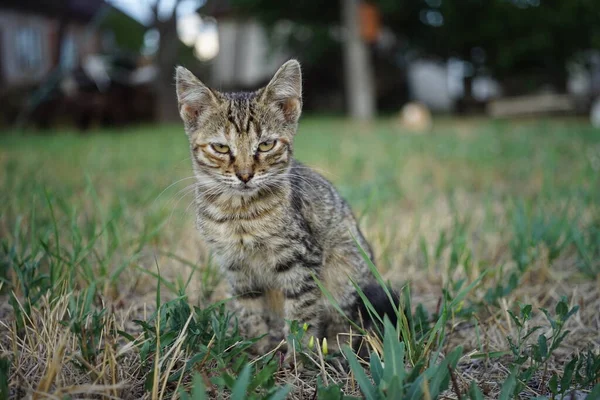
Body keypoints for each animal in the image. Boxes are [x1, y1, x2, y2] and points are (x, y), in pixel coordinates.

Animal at [176, 60, 396, 356]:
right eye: (220, 147)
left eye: (266, 145)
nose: (244, 175)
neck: (240, 214)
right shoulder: (235, 266)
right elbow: (250, 310)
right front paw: (256, 348)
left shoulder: (301, 259)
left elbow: (302, 312)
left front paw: (299, 355)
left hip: (345, 270)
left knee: (348, 320)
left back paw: (337, 348)